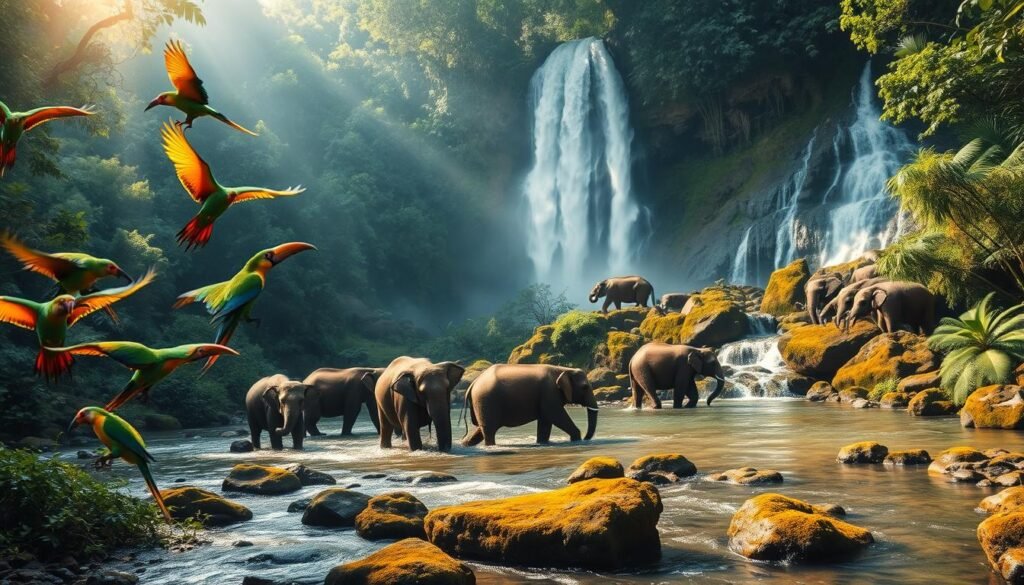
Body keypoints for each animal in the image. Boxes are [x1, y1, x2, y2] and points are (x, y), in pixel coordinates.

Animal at [461, 364, 598, 446]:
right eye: (585, 387)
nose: (586, 438)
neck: (563, 369)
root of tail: (473, 383)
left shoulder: (545, 397)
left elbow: (545, 422)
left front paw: (542, 443)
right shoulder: (549, 393)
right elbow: (556, 415)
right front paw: (577, 438)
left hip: (482, 404)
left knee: (479, 430)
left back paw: (465, 444)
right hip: (486, 401)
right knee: (489, 430)